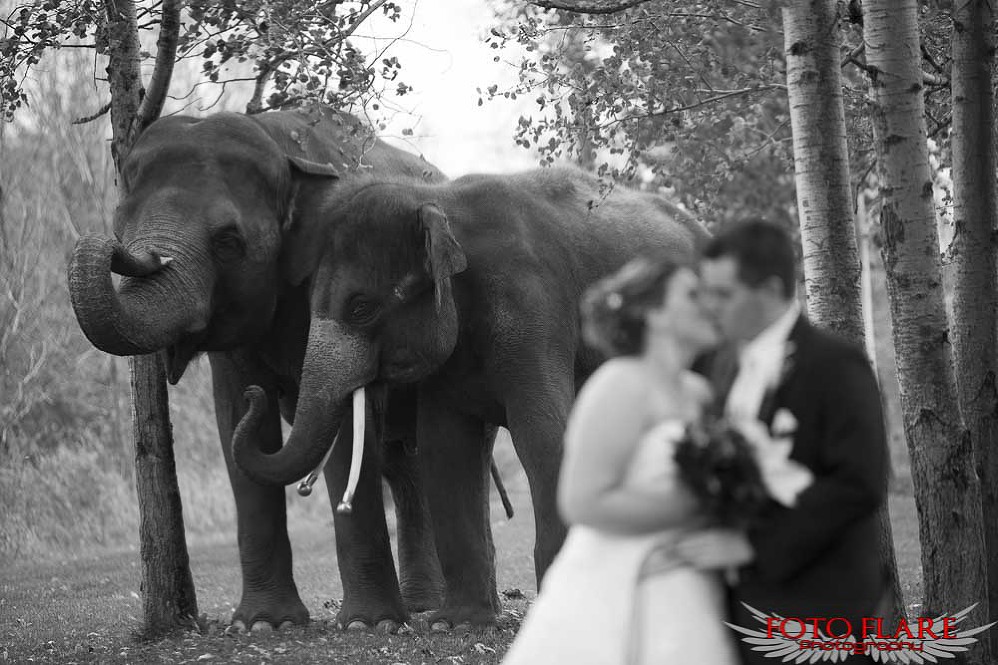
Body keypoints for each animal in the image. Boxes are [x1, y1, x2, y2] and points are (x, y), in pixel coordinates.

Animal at [64, 106, 452, 632]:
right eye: (122, 223)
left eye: (228, 242)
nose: (117, 247)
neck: (280, 145)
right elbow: (237, 422)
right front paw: (265, 625)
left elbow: (342, 428)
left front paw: (366, 626)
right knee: (402, 460)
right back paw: (421, 606)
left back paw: (426, 610)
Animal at [229, 166, 712, 628]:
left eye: (360, 308)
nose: (254, 392)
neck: (439, 203)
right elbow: (445, 448)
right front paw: (458, 625)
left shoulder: (532, 311)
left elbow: (543, 433)